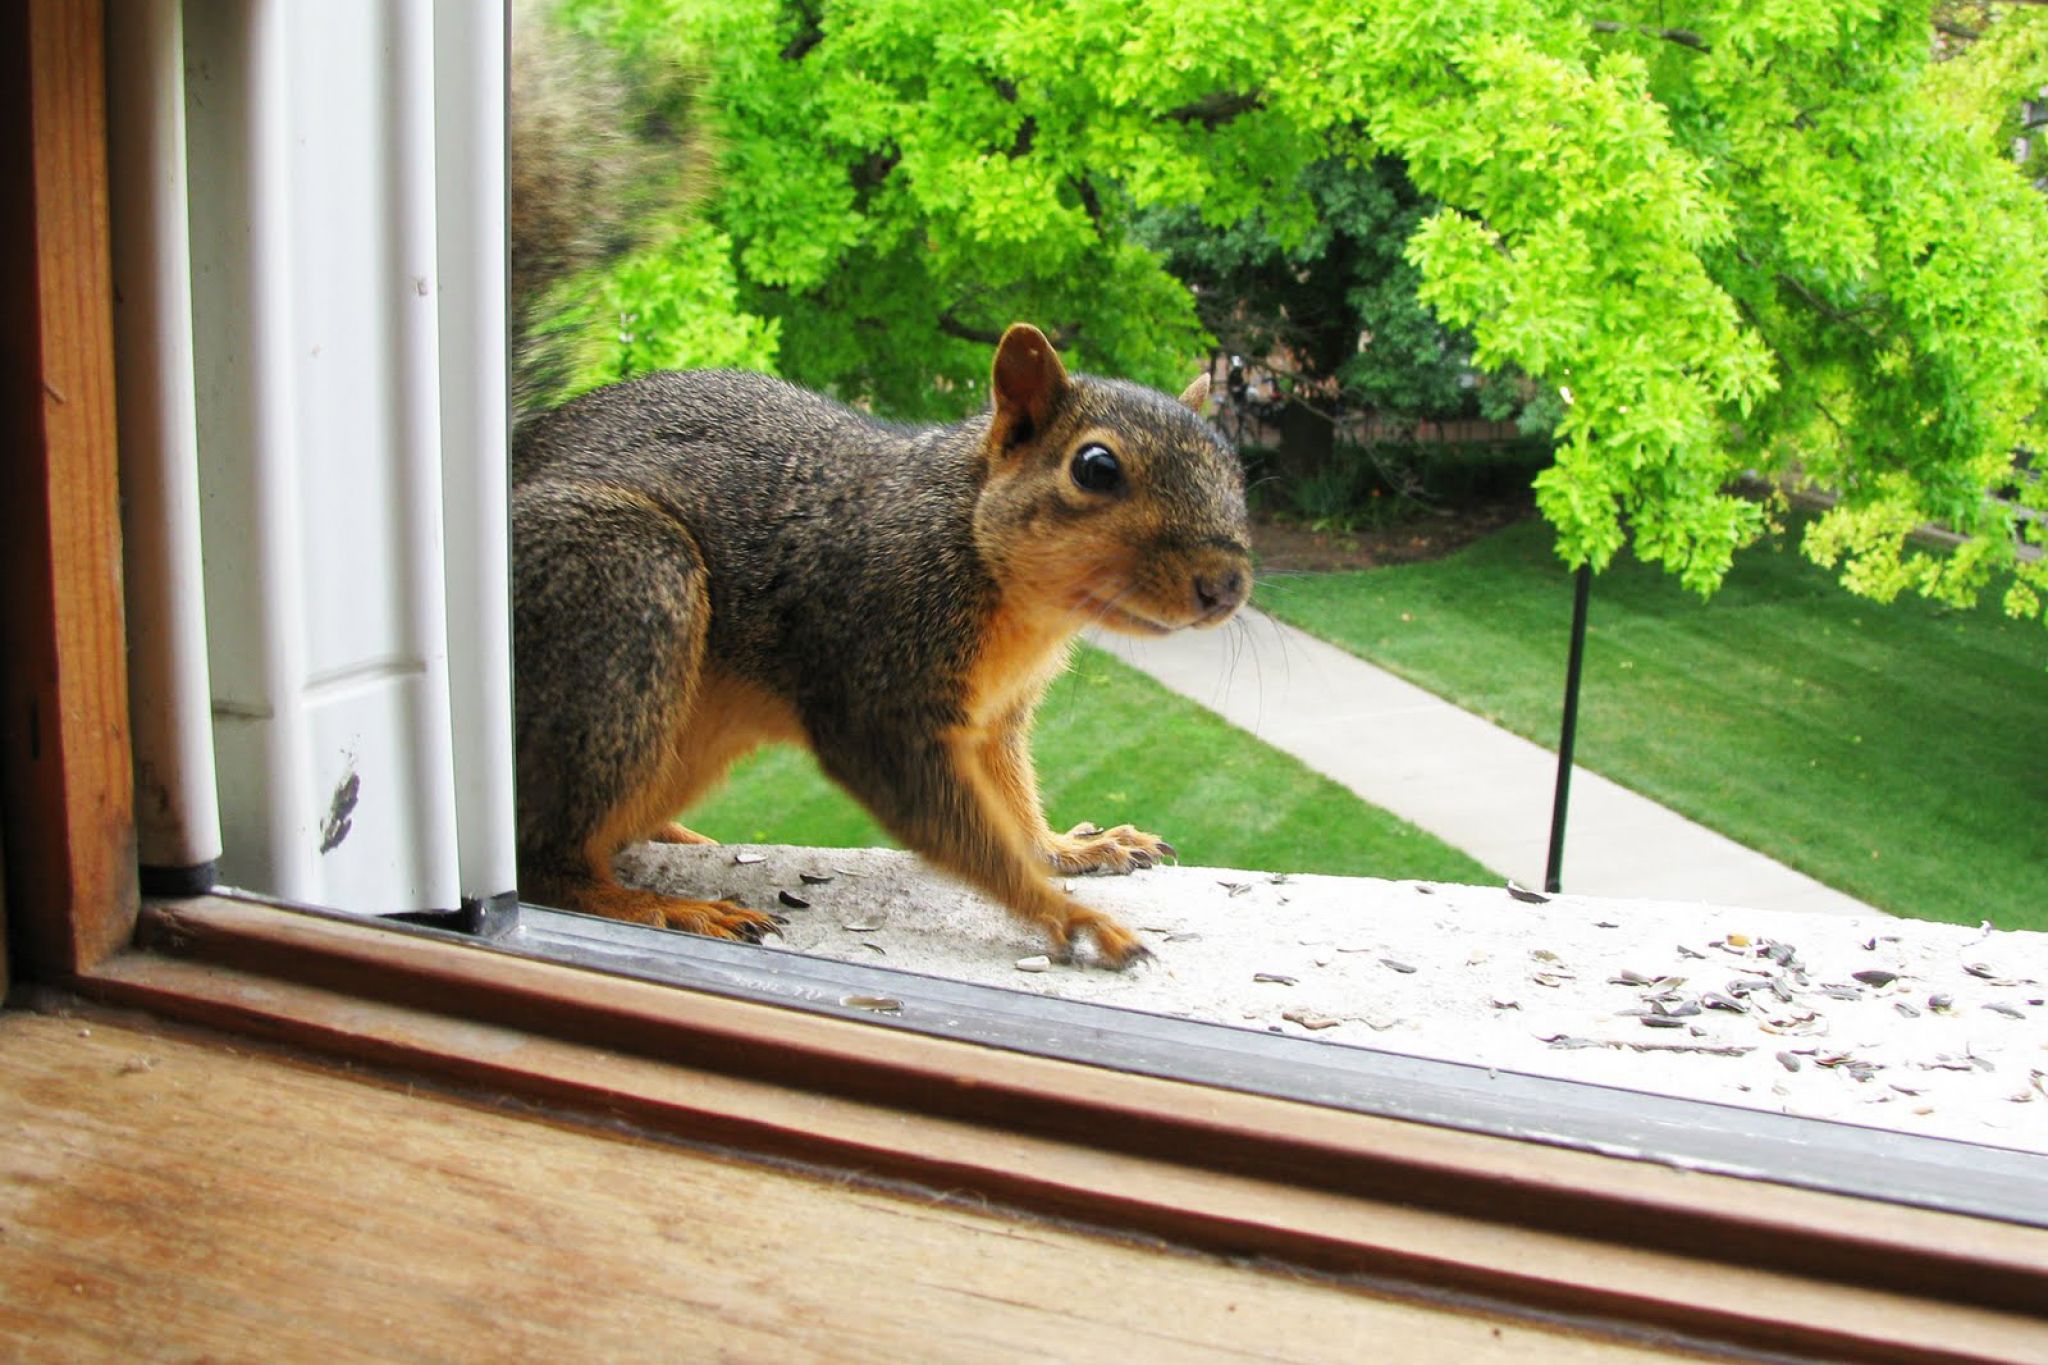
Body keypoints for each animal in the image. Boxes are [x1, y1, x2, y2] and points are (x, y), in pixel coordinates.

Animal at [509, 327, 1245, 970]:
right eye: (1095, 467)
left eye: (1234, 466)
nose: (1228, 585)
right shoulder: (877, 681)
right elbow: (951, 821)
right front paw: (1070, 916)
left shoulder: (996, 716)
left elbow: (1011, 803)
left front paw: (1069, 847)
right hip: (626, 584)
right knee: (547, 864)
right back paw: (662, 905)